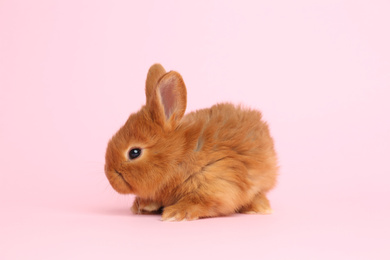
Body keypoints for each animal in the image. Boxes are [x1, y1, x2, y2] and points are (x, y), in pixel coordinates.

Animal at [104, 64, 278, 220]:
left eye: (134, 152)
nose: (110, 177)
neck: (179, 156)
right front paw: (143, 205)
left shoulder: (217, 182)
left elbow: (199, 202)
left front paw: (175, 213)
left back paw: (260, 209)